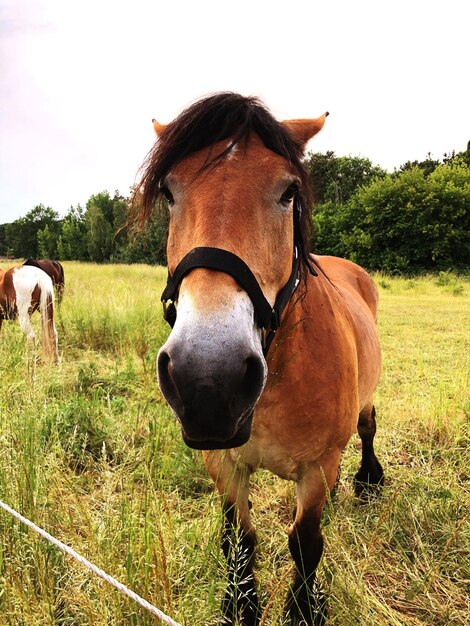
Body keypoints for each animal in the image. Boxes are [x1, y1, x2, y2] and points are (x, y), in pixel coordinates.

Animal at [134, 94, 384, 624]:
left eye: (288, 191)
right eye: (169, 192)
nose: (209, 379)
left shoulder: (317, 469)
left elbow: (305, 543)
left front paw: (304, 608)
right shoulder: (222, 462)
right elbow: (240, 539)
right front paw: (240, 603)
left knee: (368, 425)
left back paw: (369, 481)